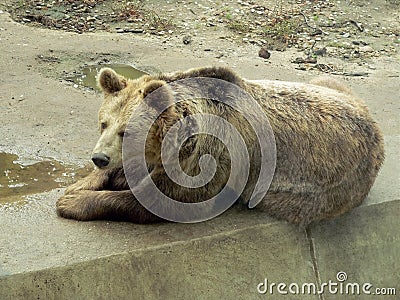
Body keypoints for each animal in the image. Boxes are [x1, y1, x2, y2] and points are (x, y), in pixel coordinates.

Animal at [56, 66, 384, 225]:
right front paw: (81, 184)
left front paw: (72, 202)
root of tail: (376, 130)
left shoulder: (213, 158)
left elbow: (165, 202)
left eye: (127, 131)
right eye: (104, 123)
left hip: (319, 193)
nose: (99, 157)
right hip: (332, 85)